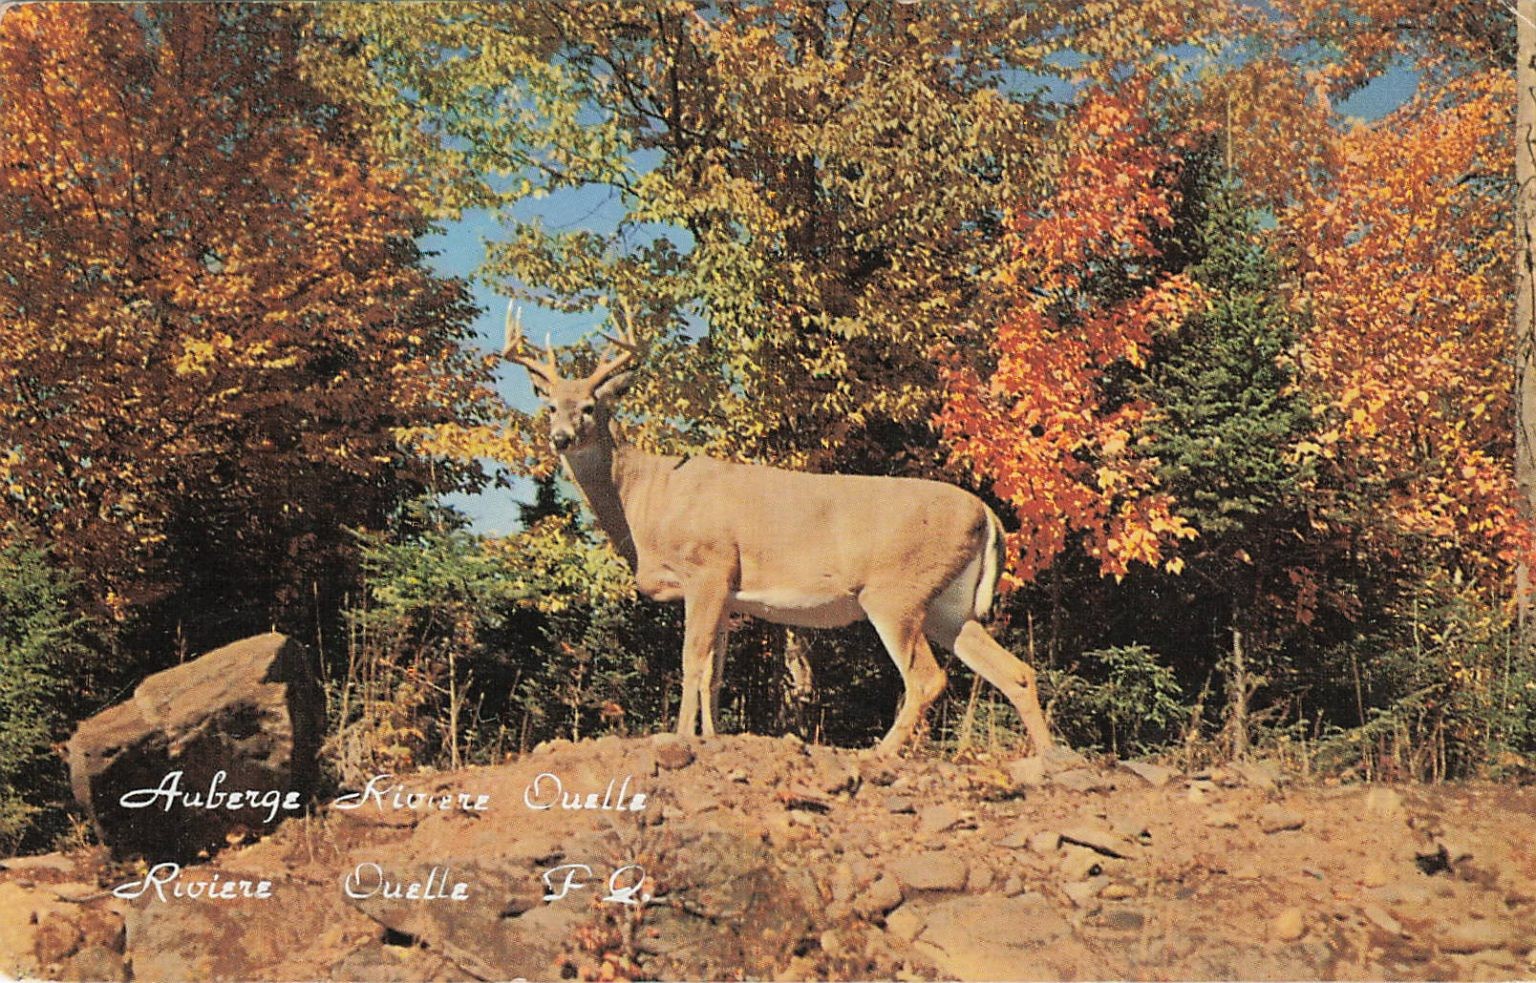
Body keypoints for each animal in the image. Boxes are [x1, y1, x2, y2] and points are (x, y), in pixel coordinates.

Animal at [503, 301, 1053, 756]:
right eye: (549, 405)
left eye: (590, 406)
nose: (561, 437)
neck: (647, 501)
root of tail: (987, 515)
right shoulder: (728, 593)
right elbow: (715, 671)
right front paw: (713, 736)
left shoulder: (707, 568)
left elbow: (691, 660)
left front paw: (680, 738)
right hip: (946, 604)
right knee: (1016, 671)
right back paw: (1049, 758)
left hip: (895, 592)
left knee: (927, 678)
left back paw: (879, 753)